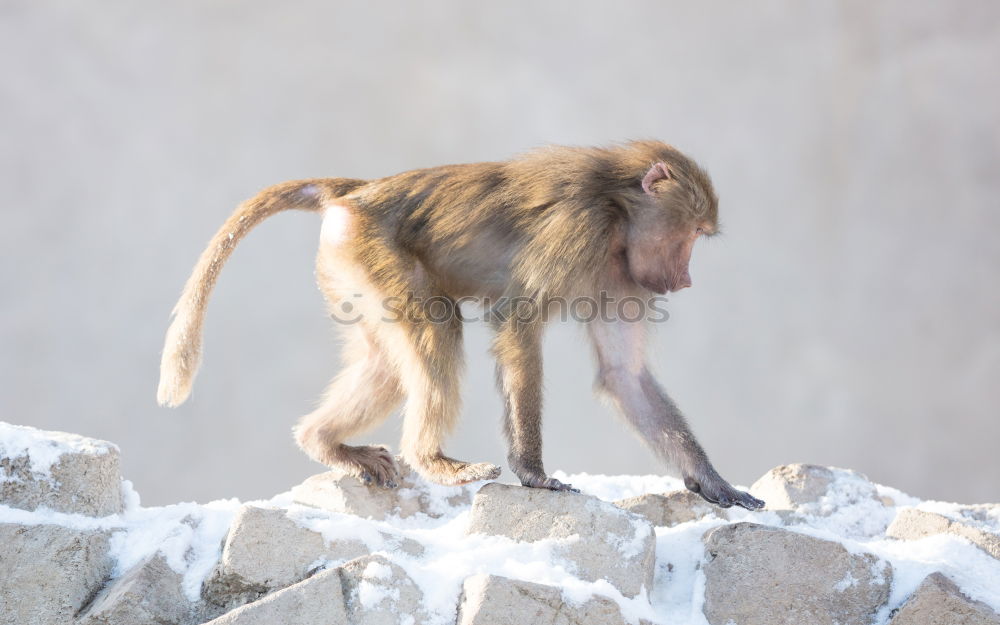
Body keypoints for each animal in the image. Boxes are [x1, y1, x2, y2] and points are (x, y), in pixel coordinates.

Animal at [156, 143, 764, 512]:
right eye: (690, 235)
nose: (685, 279)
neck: (616, 207)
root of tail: (359, 190)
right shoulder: (578, 230)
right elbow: (519, 326)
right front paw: (533, 473)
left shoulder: (625, 278)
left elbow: (624, 375)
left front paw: (714, 482)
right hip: (370, 251)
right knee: (436, 334)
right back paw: (432, 461)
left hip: (348, 269)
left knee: (388, 362)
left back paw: (326, 444)